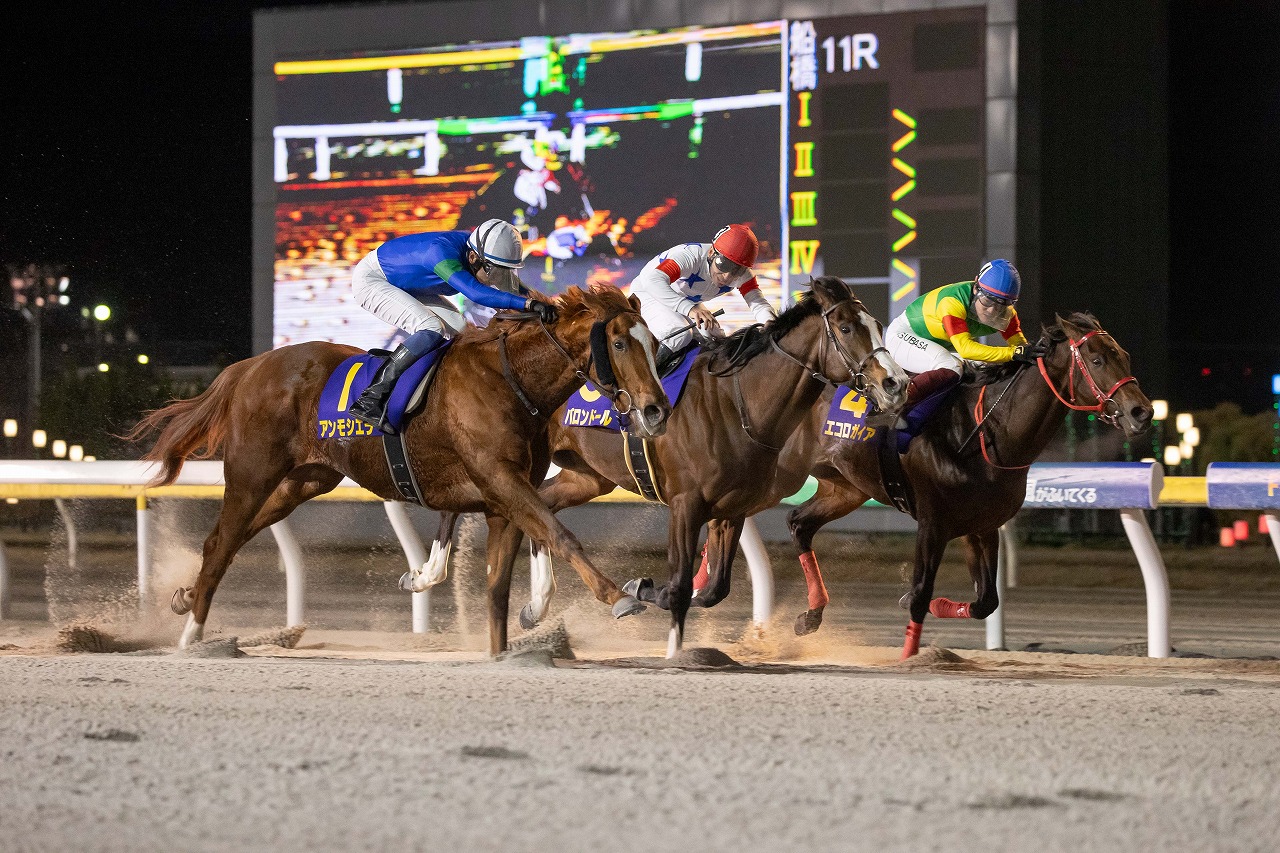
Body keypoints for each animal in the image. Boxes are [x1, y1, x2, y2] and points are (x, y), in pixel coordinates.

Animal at [126, 286, 672, 655]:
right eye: (620, 344)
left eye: (654, 343)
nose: (656, 410)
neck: (512, 381)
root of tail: (250, 366)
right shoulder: (502, 481)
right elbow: (560, 534)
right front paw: (619, 596)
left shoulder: (504, 497)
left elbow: (497, 586)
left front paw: (501, 651)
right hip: (251, 474)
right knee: (222, 542)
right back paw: (192, 636)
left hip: (304, 480)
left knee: (231, 538)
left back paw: (185, 598)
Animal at [418, 276, 909, 657]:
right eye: (845, 327)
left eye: (878, 325)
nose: (895, 384)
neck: (740, 402)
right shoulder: (685, 503)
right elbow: (677, 586)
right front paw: (652, 614)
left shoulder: (731, 508)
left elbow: (712, 589)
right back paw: (431, 571)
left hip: (585, 476)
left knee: (542, 510)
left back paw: (534, 604)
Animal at [690, 311, 1153, 657]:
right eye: (1097, 360)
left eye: (1125, 354)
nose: (1141, 412)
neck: (984, 433)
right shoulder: (932, 523)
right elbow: (918, 594)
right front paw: (908, 654)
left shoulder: (981, 526)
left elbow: (985, 601)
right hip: (775, 476)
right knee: (727, 514)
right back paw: (702, 583)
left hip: (846, 488)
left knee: (797, 524)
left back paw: (804, 613)